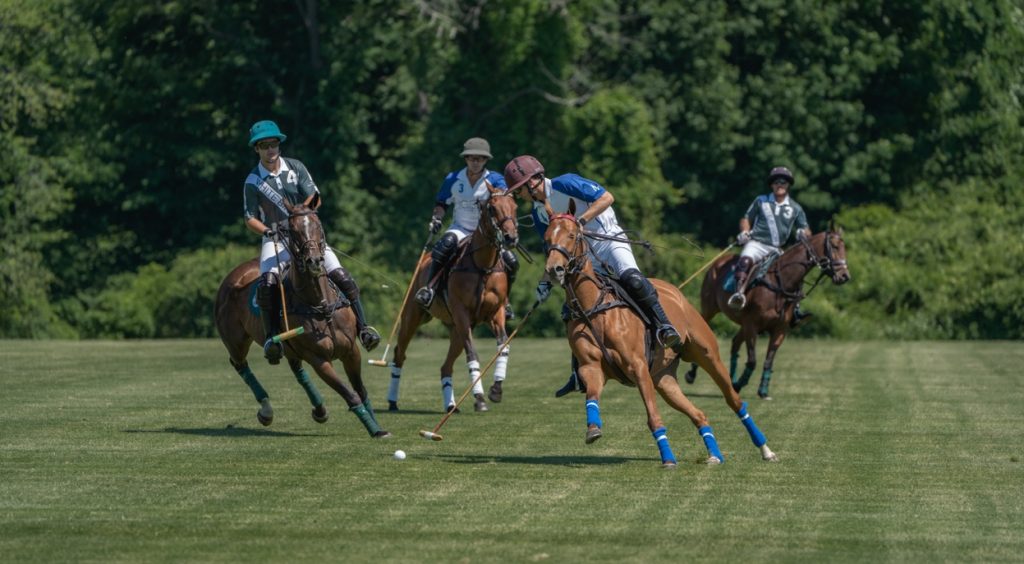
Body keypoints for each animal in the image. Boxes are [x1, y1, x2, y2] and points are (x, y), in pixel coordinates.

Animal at [214, 202, 389, 442]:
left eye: (318, 224)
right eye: (292, 230)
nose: (314, 261)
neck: (320, 305)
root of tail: (233, 275)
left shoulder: (351, 350)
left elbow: (361, 390)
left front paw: (378, 427)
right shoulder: (318, 360)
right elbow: (350, 394)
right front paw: (372, 428)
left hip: (289, 347)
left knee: (296, 369)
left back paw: (320, 410)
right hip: (236, 341)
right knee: (240, 364)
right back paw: (266, 410)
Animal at [385, 187, 520, 413]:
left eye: (514, 207)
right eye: (492, 208)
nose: (511, 237)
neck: (482, 266)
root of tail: (425, 258)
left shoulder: (496, 313)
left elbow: (503, 347)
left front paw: (495, 390)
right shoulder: (461, 312)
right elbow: (472, 354)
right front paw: (479, 398)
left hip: (455, 328)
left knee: (445, 366)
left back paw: (451, 405)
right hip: (413, 316)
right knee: (399, 354)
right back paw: (393, 401)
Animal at [544, 200, 774, 470]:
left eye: (572, 235)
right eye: (547, 239)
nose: (554, 269)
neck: (593, 306)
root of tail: (676, 292)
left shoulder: (637, 366)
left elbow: (653, 417)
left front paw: (668, 459)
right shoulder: (591, 367)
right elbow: (591, 396)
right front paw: (593, 430)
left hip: (708, 355)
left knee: (734, 401)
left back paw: (765, 449)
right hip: (663, 379)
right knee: (699, 413)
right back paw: (715, 454)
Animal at [688, 223, 847, 399]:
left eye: (844, 247)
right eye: (835, 246)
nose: (845, 276)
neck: (782, 282)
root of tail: (718, 262)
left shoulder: (780, 329)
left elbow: (768, 361)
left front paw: (762, 390)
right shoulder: (752, 324)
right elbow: (752, 360)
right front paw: (740, 383)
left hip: (742, 323)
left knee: (735, 343)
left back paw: (730, 381)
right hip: (710, 309)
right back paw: (692, 374)